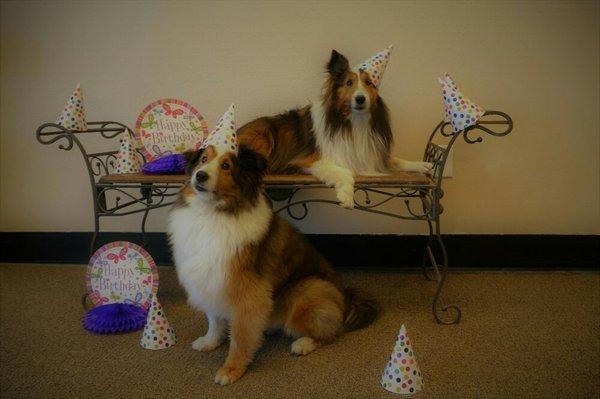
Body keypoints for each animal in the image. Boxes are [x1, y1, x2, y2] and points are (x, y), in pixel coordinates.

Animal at [166, 143, 378, 384]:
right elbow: (214, 319)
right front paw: (210, 341)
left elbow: (239, 336)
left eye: (226, 165)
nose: (200, 175)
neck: (212, 213)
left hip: (308, 288)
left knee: (332, 330)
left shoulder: (247, 293)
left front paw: (231, 369)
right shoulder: (209, 279)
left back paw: (303, 343)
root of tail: (345, 296)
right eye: (203, 159)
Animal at [238, 48, 432, 208]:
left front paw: (422, 165)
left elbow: (396, 160)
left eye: (369, 83)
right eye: (348, 83)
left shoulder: (372, 154)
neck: (354, 122)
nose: (360, 99)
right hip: (263, 137)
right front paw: (347, 196)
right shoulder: (311, 160)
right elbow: (346, 172)